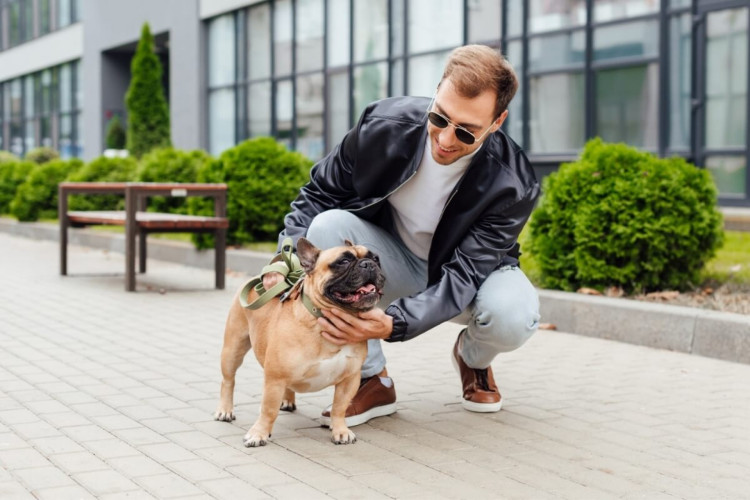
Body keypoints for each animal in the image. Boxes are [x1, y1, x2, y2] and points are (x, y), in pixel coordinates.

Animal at [213, 236, 384, 448]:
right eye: (343, 261)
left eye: (376, 258)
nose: (369, 264)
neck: (323, 322)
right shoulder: (274, 379)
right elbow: (268, 410)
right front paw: (258, 434)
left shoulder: (350, 379)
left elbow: (340, 407)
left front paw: (341, 431)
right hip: (233, 348)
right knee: (228, 380)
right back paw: (225, 410)